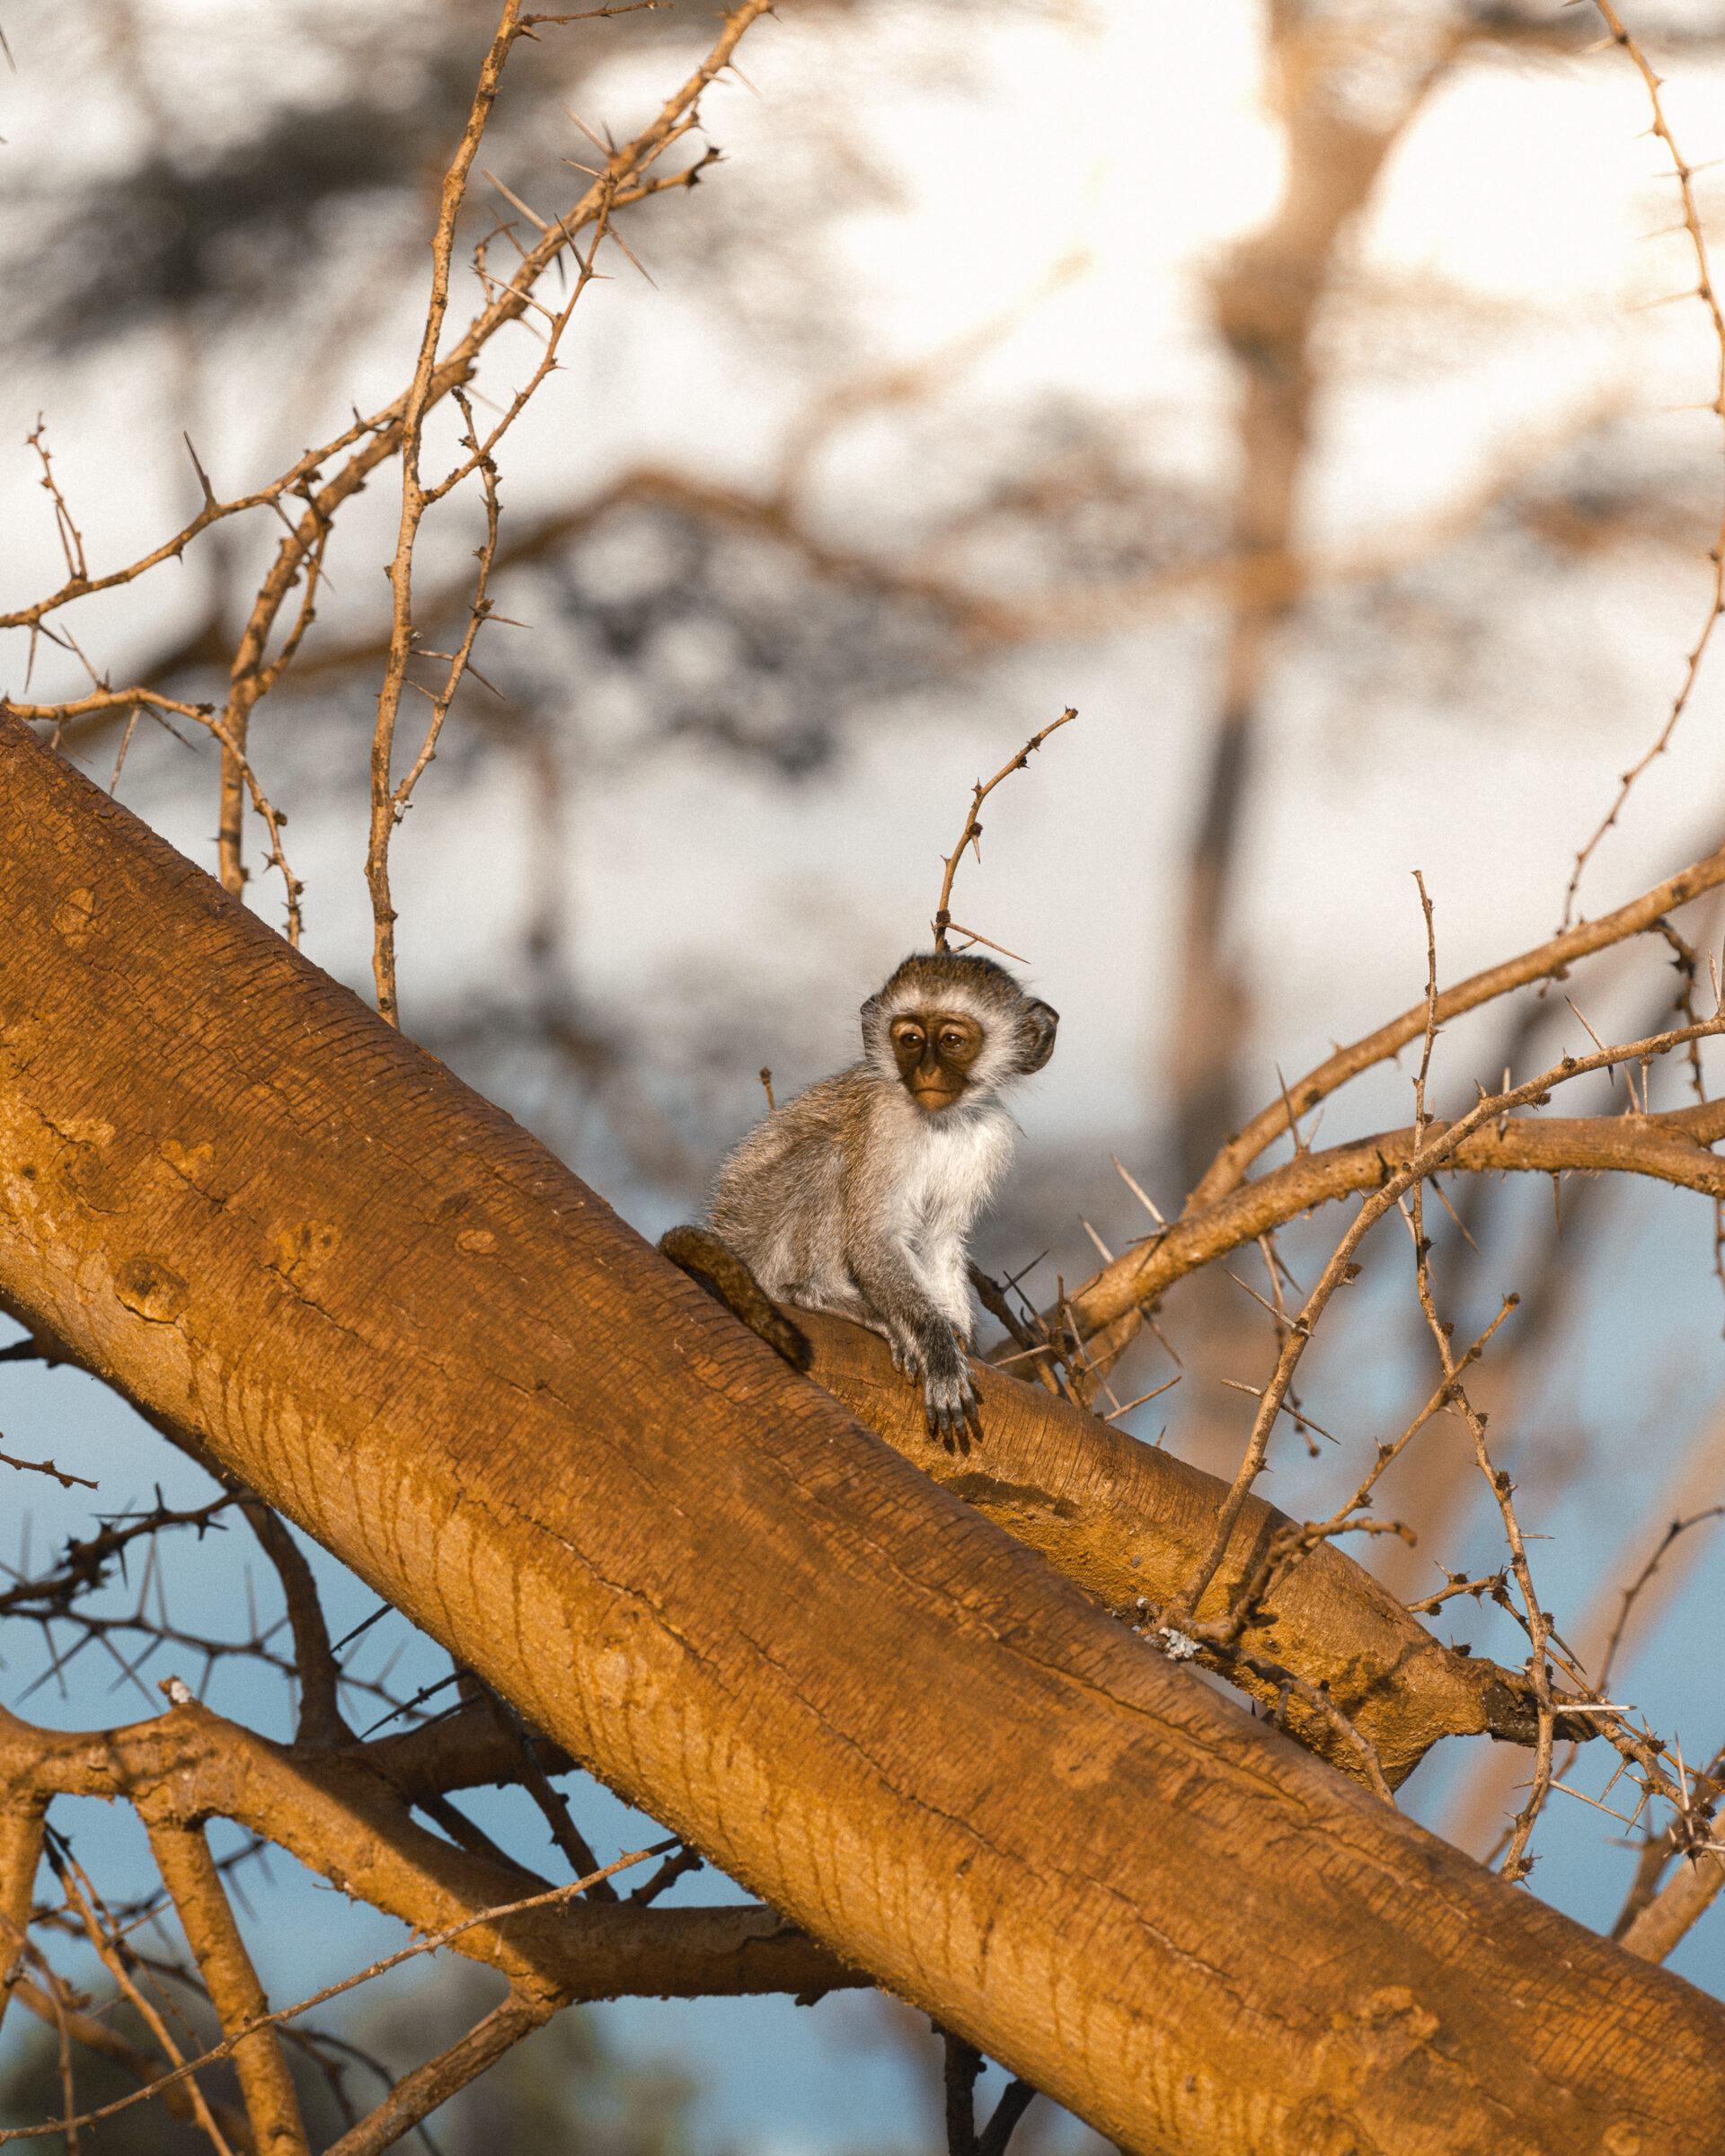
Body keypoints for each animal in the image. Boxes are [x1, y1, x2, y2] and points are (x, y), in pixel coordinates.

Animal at [668, 949, 1057, 1440]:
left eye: (951, 1040)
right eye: (911, 1039)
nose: (927, 1070)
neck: (940, 1120)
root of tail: (727, 1233)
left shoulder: (989, 1136)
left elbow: (939, 1239)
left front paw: (955, 1333)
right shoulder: (883, 1120)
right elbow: (872, 1238)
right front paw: (936, 1347)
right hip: (759, 1228)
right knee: (829, 1155)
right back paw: (816, 1292)